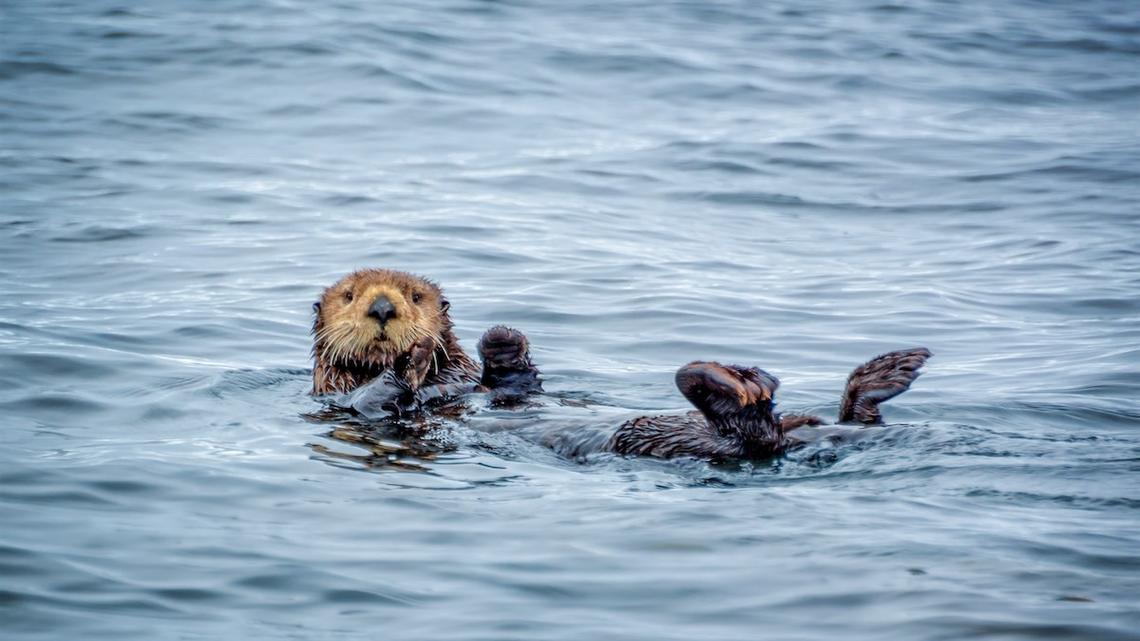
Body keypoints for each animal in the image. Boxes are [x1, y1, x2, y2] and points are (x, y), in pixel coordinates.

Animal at [311, 269, 540, 410]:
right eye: (349, 296)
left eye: (416, 297)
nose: (382, 308)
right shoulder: (339, 393)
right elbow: (367, 404)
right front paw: (408, 364)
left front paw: (502, 341)